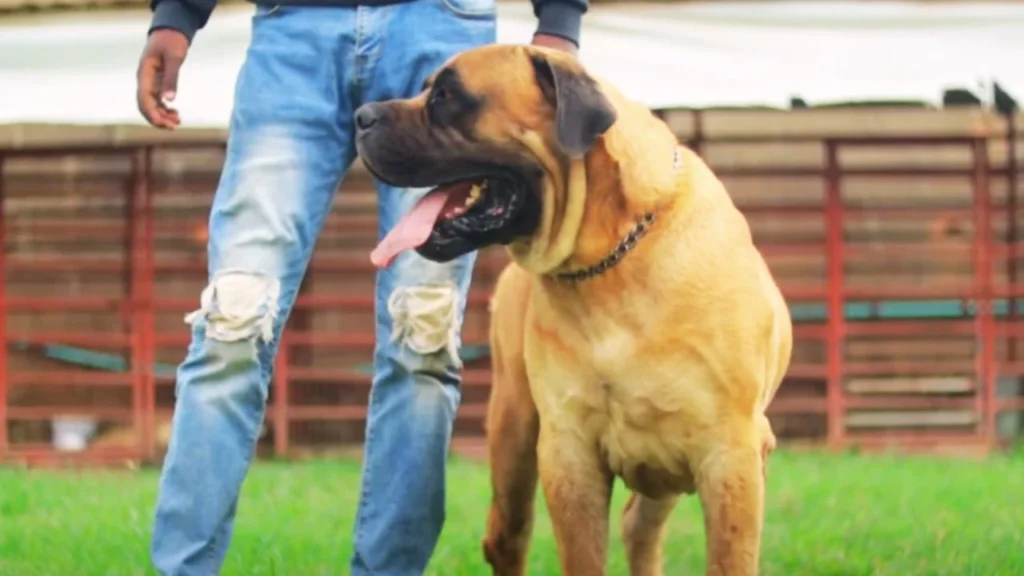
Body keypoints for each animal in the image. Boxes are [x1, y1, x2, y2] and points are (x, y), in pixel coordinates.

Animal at [356, 43, 794, 573]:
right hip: (515, 432)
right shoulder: (570, 454)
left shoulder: (731, 455)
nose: (362, 115)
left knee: (640, 527)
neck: (610, 258)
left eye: (446, 95)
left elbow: (730, 557)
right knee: (509, 536)